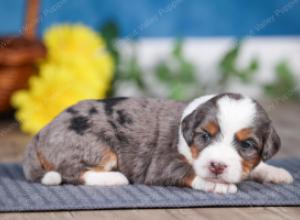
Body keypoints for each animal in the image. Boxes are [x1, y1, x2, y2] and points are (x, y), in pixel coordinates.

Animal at [22, 93, 292, 193]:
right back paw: (115, 178)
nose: (217, 166)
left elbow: (258, 166)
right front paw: (218, 185)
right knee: (72, 172)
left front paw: (277, 172)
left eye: (246, 145)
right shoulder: (161, 165)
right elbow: (190, 172)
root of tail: (40, 134)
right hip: (95, 145)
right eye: (204, 136)